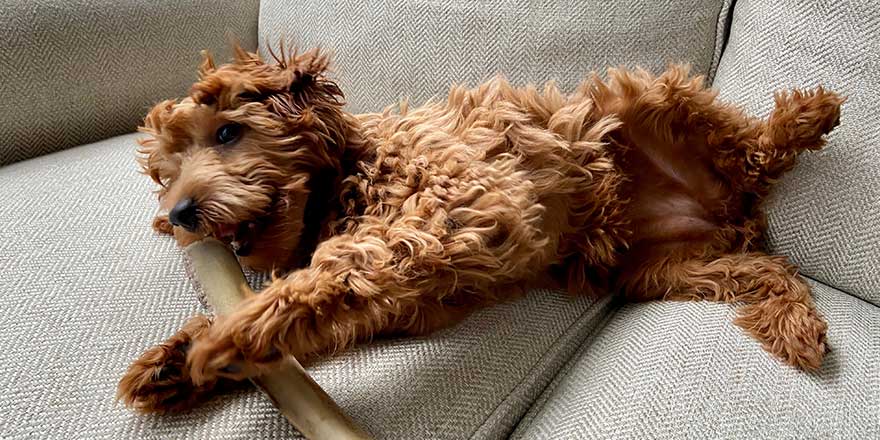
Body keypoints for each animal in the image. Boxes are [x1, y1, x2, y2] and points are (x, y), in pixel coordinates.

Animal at [115, 45, 840, 412]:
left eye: (228, 133)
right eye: (164, 173)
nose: (179, 215)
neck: (345, 180)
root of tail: (730, 210)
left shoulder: (455, 202)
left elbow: (334, 271)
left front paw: (227, 335)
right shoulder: (404, 300)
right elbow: (325, 311)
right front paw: (176, 362)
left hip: (639, 98)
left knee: (752, 148)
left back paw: (804, 117)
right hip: (659, 268)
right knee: (768, 269)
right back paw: (795, 323)